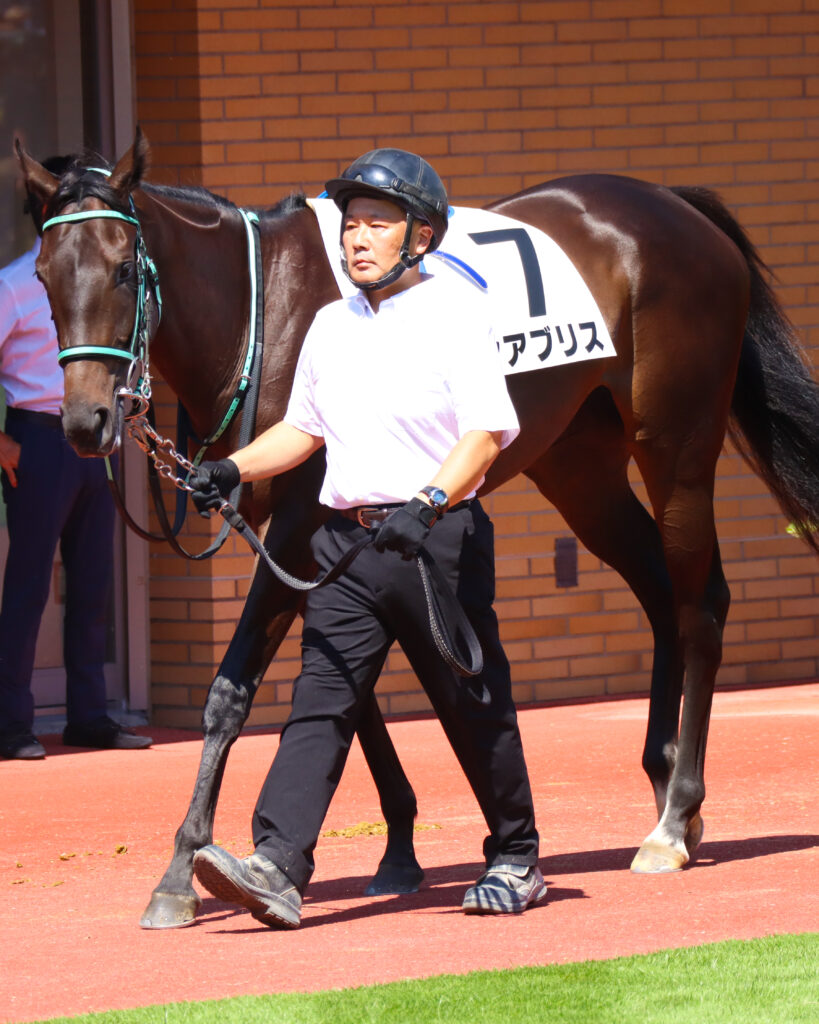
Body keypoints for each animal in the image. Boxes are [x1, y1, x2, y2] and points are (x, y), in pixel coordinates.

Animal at [17, 131, 819, 929]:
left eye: (124, 269)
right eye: (43, 275)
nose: (86, 422)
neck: (262, 309)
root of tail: (678, 208)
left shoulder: (298, 524)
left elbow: (233, 692)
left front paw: (181, 870)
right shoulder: (313, 539)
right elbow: (349, 681)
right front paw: (392, 848)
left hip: (675, 445)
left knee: (698, 604)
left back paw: (674, 818)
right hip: (580, 468)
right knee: (658, 593)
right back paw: (666, 787)